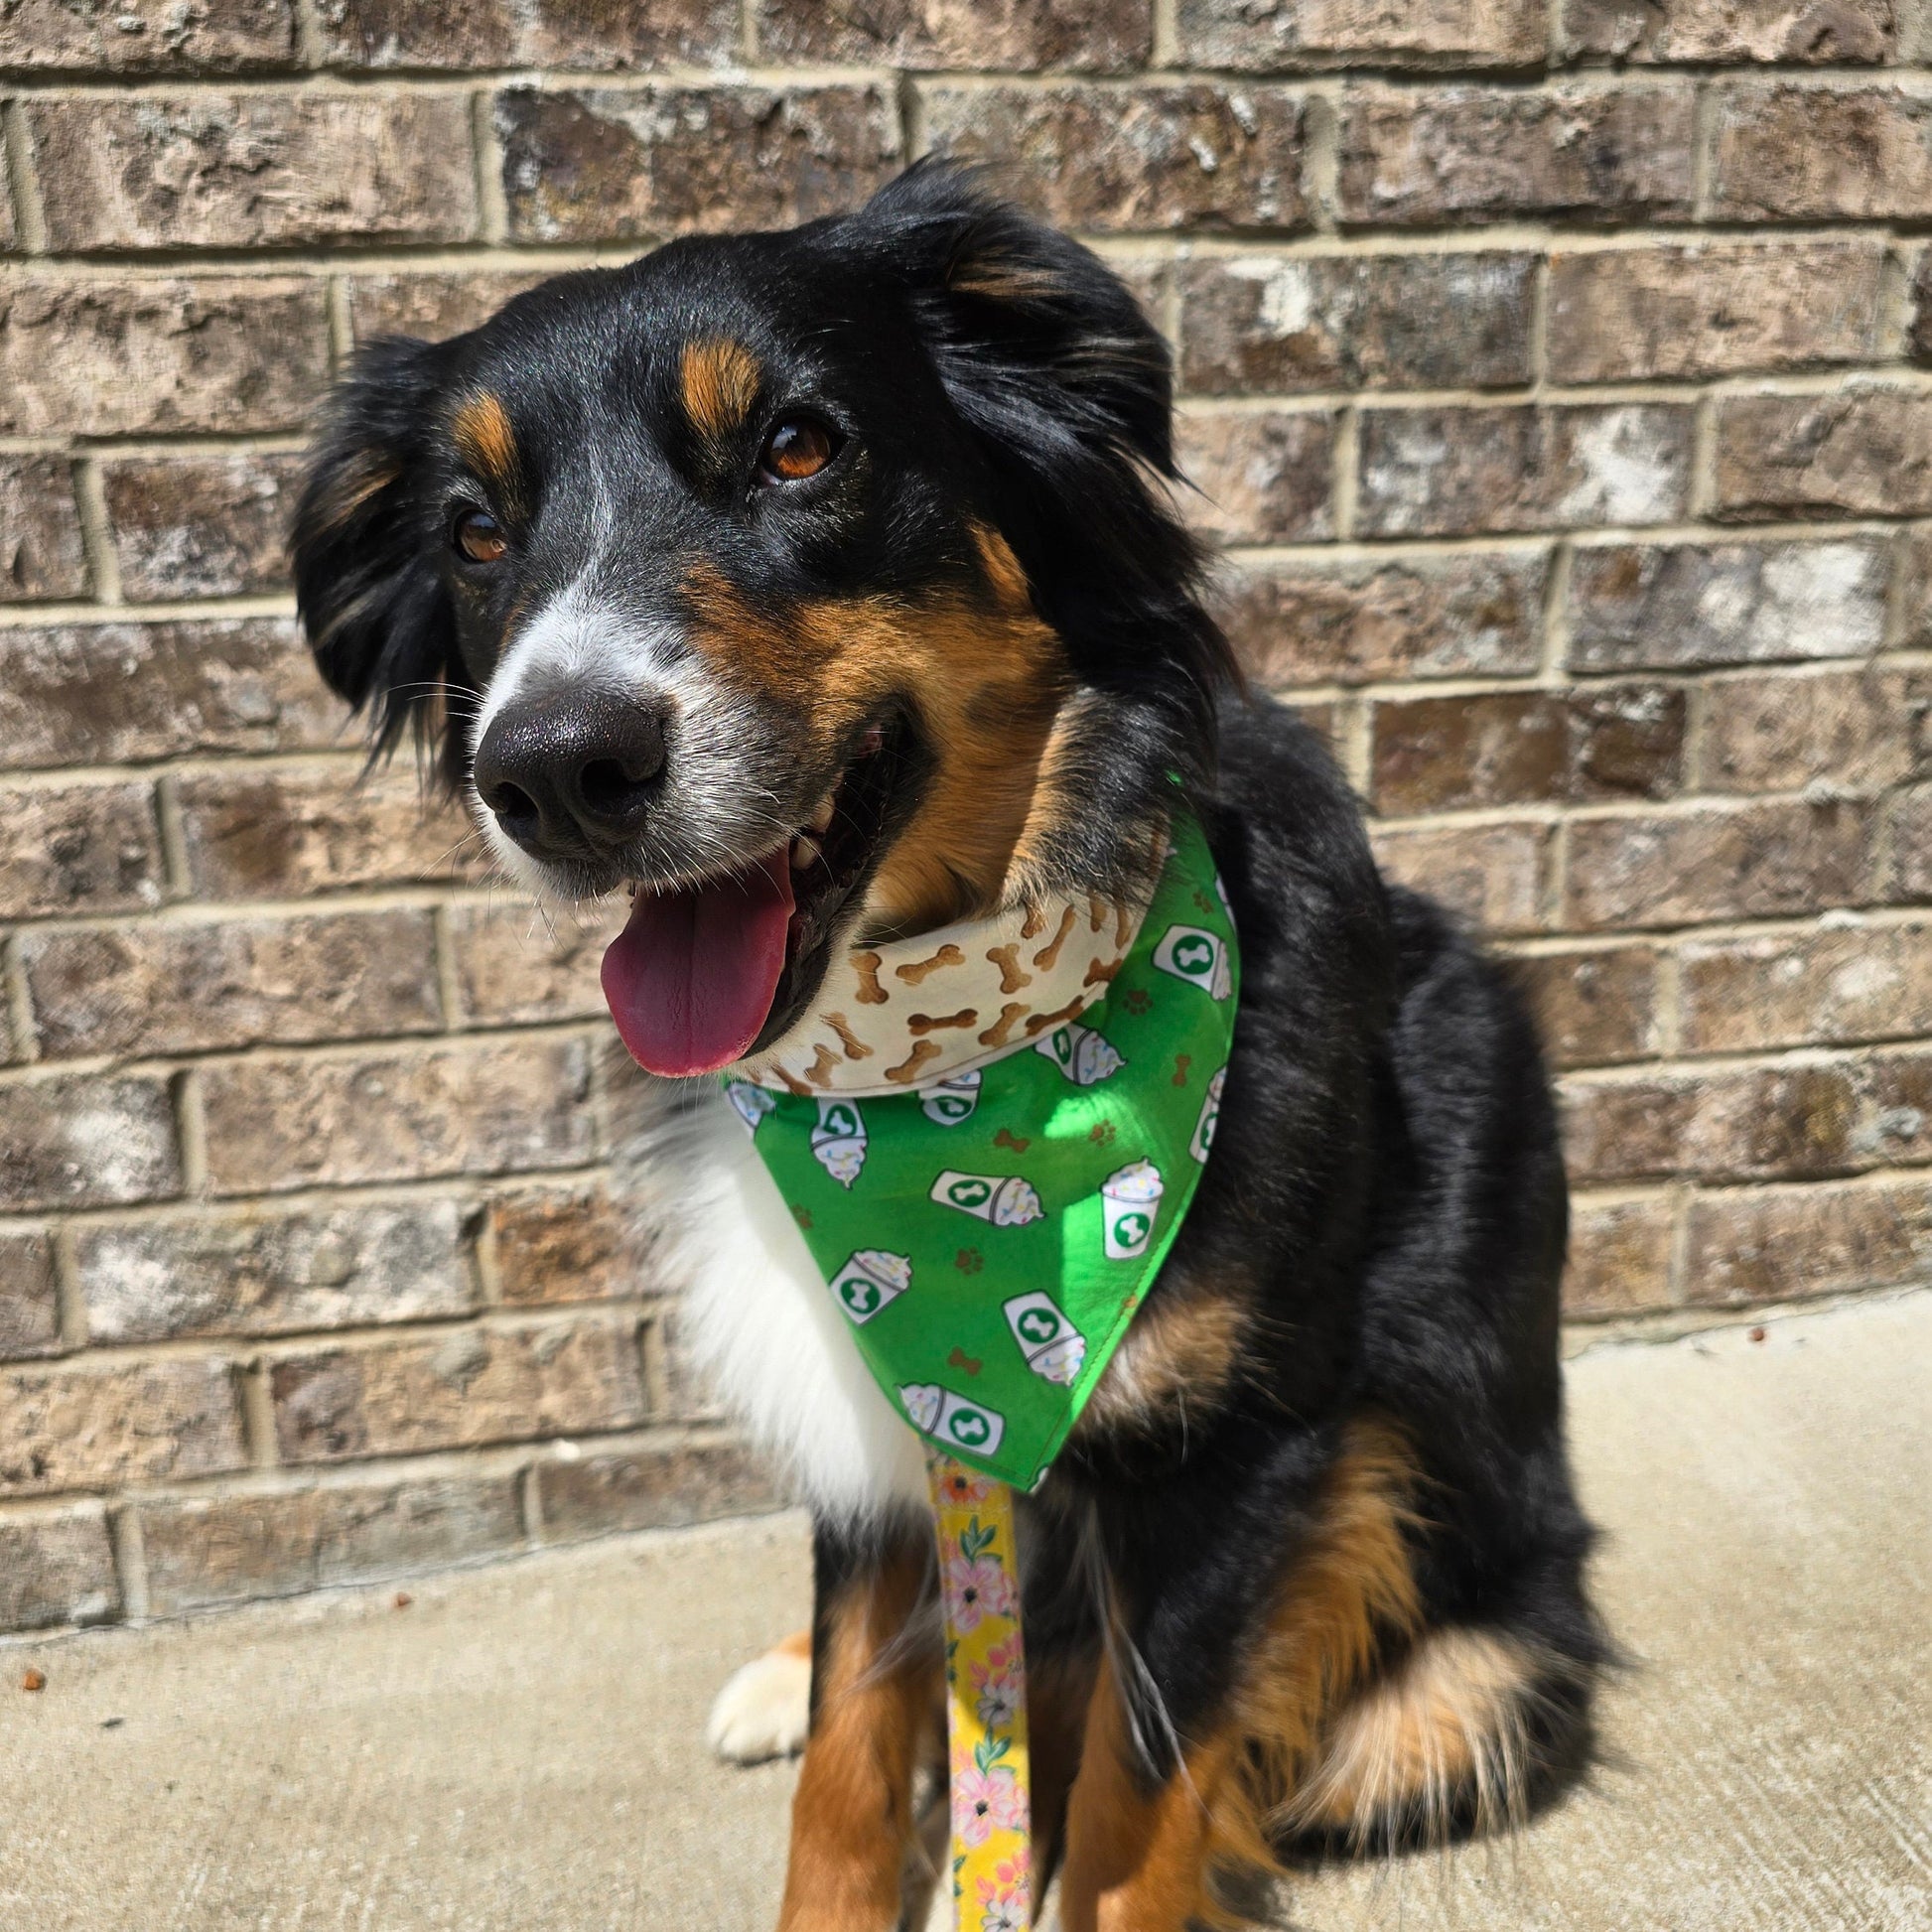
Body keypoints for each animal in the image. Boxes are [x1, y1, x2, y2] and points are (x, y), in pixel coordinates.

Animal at [293, 158, 1607, 1924]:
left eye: (798, 446)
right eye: (474, 530)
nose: (552, 768)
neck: (941, 1070)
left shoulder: (1247, 1447)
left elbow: (1138, 1792)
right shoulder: (880, 1398)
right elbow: (855, 1756)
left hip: (1469, 1681)